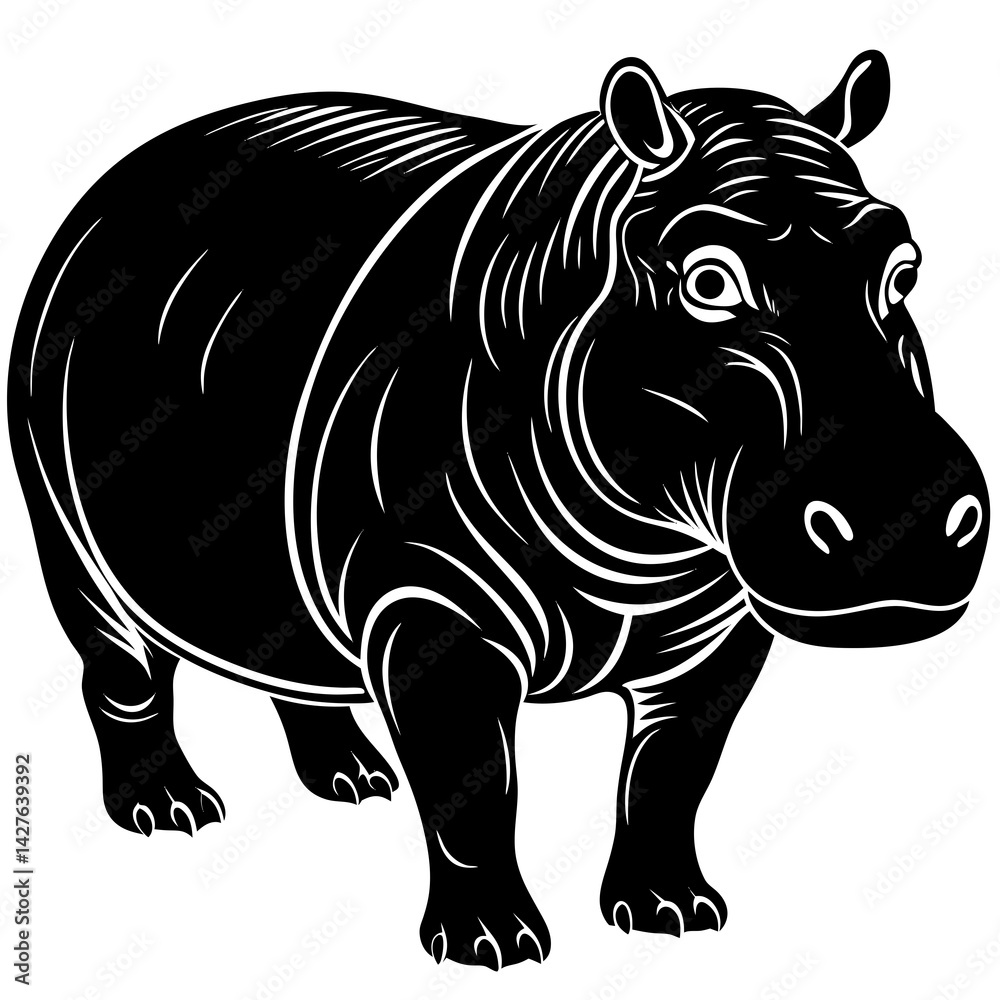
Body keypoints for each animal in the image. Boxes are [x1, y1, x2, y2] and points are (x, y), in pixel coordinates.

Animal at [8, 49, 989, 969]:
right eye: (708, 281)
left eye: (904, 269)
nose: (904, 513)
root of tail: (124, 174)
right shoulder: (431, 604)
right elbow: (473, 784)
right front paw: (489, 945)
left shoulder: (722, 622)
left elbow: (672, 771)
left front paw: (668, 915)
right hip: (63, 523)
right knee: (119, 663)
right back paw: (170, 811)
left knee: (279, 640)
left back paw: (352, 780)